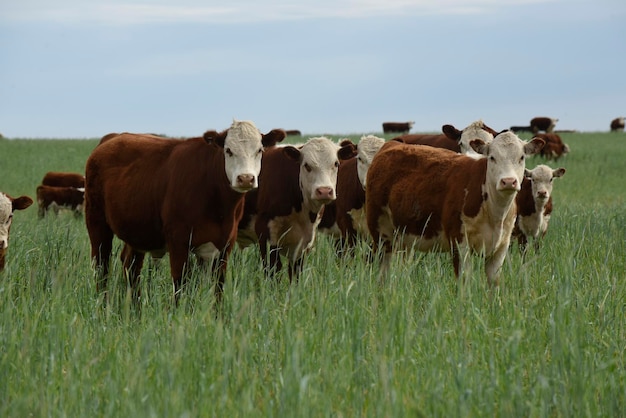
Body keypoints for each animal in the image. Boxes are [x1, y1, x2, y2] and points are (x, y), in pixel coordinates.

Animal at [83, 119, 286, 302]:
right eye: (228, 150)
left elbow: (217, 290)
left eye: (259, 150)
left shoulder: (224, 245)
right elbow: (181, 287)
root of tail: (113, 138)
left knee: (131, 267)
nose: (245, 178)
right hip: (97, 224)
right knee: (101, 269)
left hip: (136, 233)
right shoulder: (179, 241)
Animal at [235, 137, 354, 280]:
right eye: (307, 165)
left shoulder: (305, 239)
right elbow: (273, 268)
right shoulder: (265, 231)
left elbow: (296, 271)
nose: (324, 191)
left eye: (336, 164)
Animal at [364, 132, 544, 286]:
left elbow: (494, 283)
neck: (494, 213)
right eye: (492, 157)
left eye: (521, 157)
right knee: (383, 268)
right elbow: (465, 281)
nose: (508, 181)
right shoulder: (459, 243)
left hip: (405, 236)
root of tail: (391, 144)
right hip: (381, 234)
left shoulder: (500, 247)